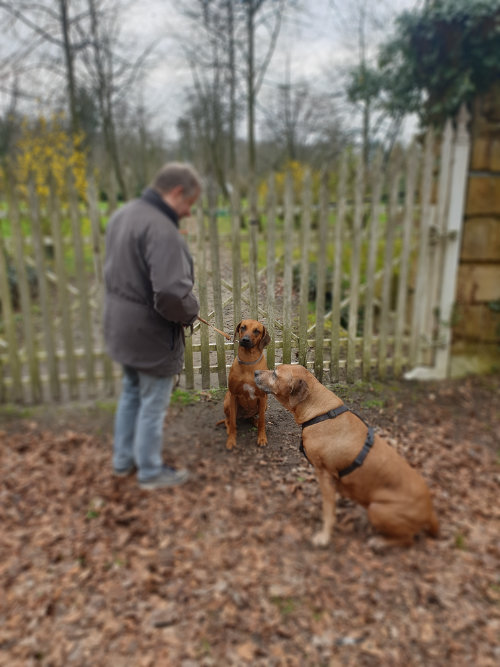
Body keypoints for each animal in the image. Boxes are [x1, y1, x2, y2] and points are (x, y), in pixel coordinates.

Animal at [222, 320, 272, 452]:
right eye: (243, 327)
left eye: (257, 331)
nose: (245, 340)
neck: (249, 361)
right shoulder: (233, 395)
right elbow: (232, 422)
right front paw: (231, 440)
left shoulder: (262, 397)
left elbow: (262, 421)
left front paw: (262, 438)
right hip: (227, 400)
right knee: (228, 419)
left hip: (265, 404)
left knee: (255, 417)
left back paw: (254, 421)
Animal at [254, 366, 438, 548]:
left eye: (275, 373)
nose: (255, 372)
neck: (320, 412)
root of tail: (429, 512)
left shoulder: (324, 472)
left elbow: (328, 510)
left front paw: (325, 536)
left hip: (377, 509)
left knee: (408, 539)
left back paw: (379, 542)